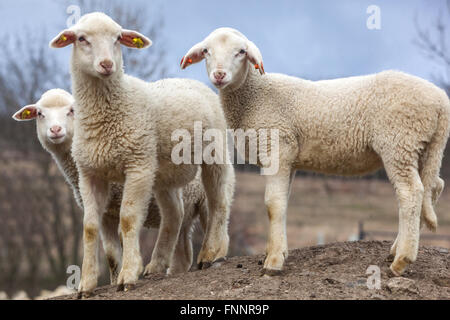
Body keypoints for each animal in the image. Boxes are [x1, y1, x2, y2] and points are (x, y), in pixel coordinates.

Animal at [12, 89, 213, 282]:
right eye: (40, 113)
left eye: (72, 110)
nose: (55, 130)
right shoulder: (106, 212)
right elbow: (111, 255)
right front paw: (115, 280)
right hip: (188, 210)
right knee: (182, 251)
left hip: (204, 200)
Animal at [51, 13, 234, 298]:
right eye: (81, 38)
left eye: (118, 38)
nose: (107, 64)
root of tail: (192, 81)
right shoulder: (90, 174)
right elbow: (89, 227)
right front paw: (87, 285)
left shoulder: (137, 166)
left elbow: (127, 220)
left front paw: (127, 276)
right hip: (164, 175)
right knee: (174, 214)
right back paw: (157, 265)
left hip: (214, 154)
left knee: (218, 203)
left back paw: (210, 254)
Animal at [180, 28, 450, 278]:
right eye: (206, 51)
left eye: (241, 52)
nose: (219, 75)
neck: (255, 96)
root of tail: (441, 100)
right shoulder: (288, 159)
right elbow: (283, 203)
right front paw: (276, 251)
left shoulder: (277, 148)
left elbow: (273, 204)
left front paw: (274, 262)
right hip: (423, 147)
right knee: (433, 186)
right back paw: (397, 249)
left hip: (398, 142)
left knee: (411, 193)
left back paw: (402, 260)